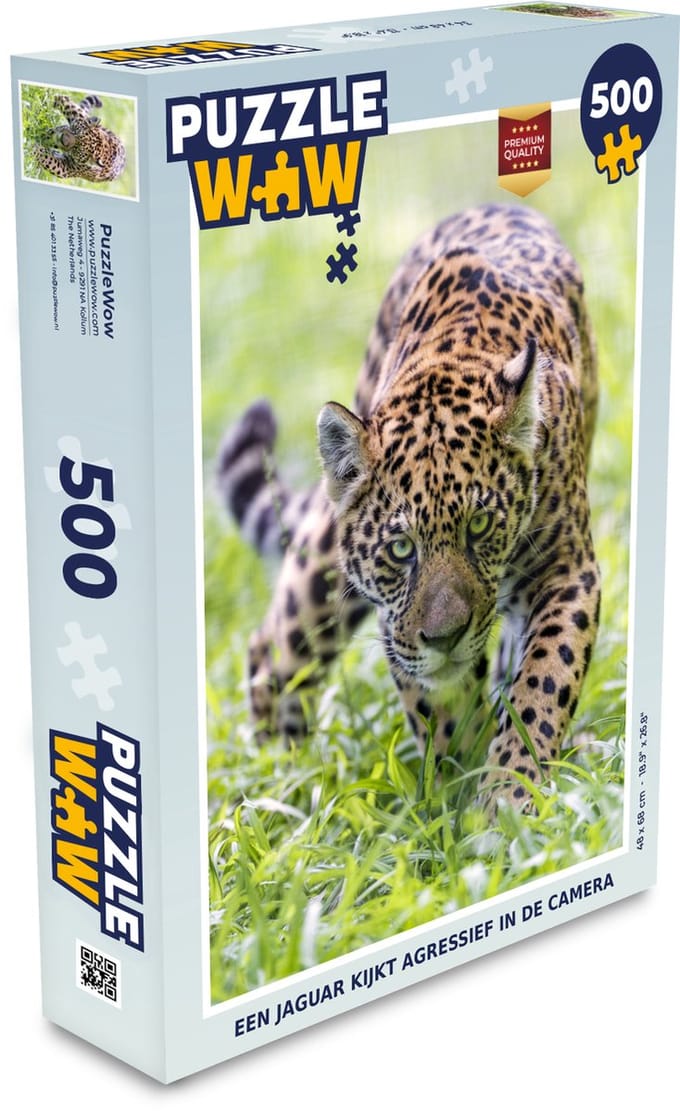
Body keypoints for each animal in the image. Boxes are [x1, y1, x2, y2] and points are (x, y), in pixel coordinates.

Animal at [217, 203, 601, 810]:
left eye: (480, 525)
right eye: (400, 549)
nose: (444, 639)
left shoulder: (567, 567)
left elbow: (542, 681)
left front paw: (506, 795)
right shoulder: (397, 622)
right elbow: (440, 712)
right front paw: (454, 798)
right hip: (323, 571)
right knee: (272, 649)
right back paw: (279, 784)